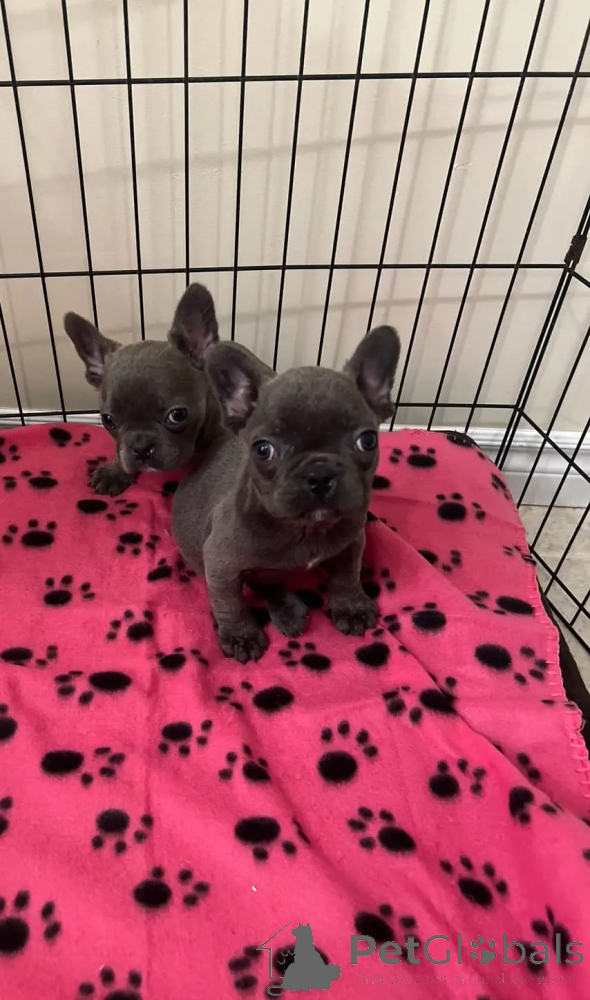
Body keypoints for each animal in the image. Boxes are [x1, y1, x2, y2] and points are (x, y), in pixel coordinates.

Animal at [173, 325, 400, 663]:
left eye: (368, 441)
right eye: (263, 449)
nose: (319, 474)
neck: (306, 528)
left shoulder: (352, 540)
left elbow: (347, 573)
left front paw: (351, 606)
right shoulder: (220, 563)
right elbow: (230, 603)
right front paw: (240, 635)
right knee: (262, 582)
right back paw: (287, 610)